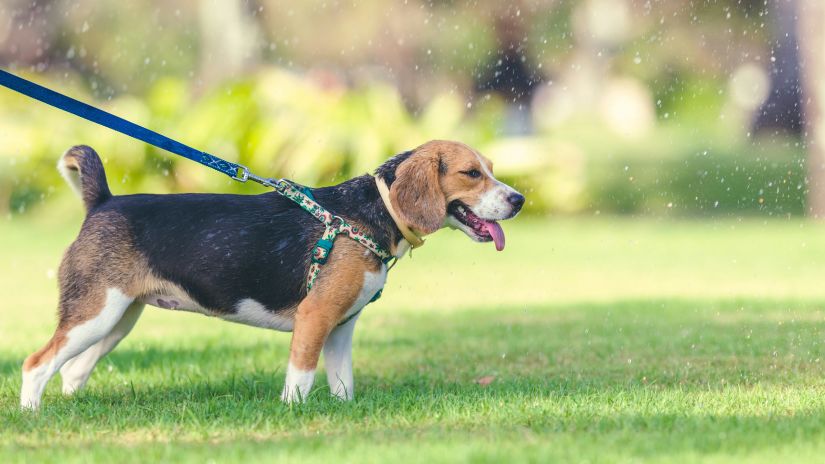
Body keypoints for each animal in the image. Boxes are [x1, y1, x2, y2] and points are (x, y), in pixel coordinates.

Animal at [19, 140, 524, 408]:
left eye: (491, 170)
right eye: (471, 173)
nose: (519, 200)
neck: (369, 212)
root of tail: (103, 202)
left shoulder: (341, 327)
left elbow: (343, 383)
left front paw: (344, 413)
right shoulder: (315, 318)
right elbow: (300, 378)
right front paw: (293, 415)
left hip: (116, 320)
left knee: (72, 370)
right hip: (95, 315)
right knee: (37, 364)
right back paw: (33, 415)